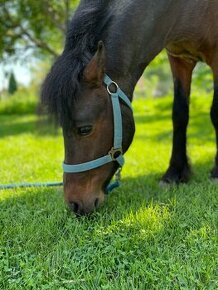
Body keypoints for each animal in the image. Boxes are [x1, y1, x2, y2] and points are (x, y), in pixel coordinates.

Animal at [41, 0, 218, 215]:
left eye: (84, 129)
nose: (74, 204)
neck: (183, 9)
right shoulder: (179, 59)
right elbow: (179, 114)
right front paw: (174, 173)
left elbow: (215, 113)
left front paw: (216, 171)